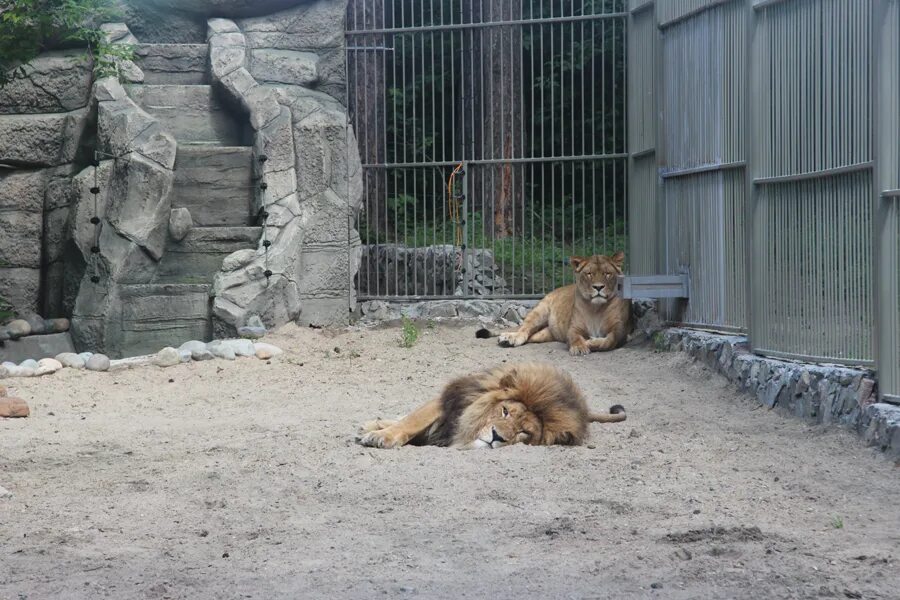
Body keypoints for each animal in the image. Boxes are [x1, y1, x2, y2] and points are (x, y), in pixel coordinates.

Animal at [356, 360, 624, 450]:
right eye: (505, 411)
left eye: (524, 432)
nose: (497, 437)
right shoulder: (452, 400)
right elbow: (413, 420)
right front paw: (381, 435)